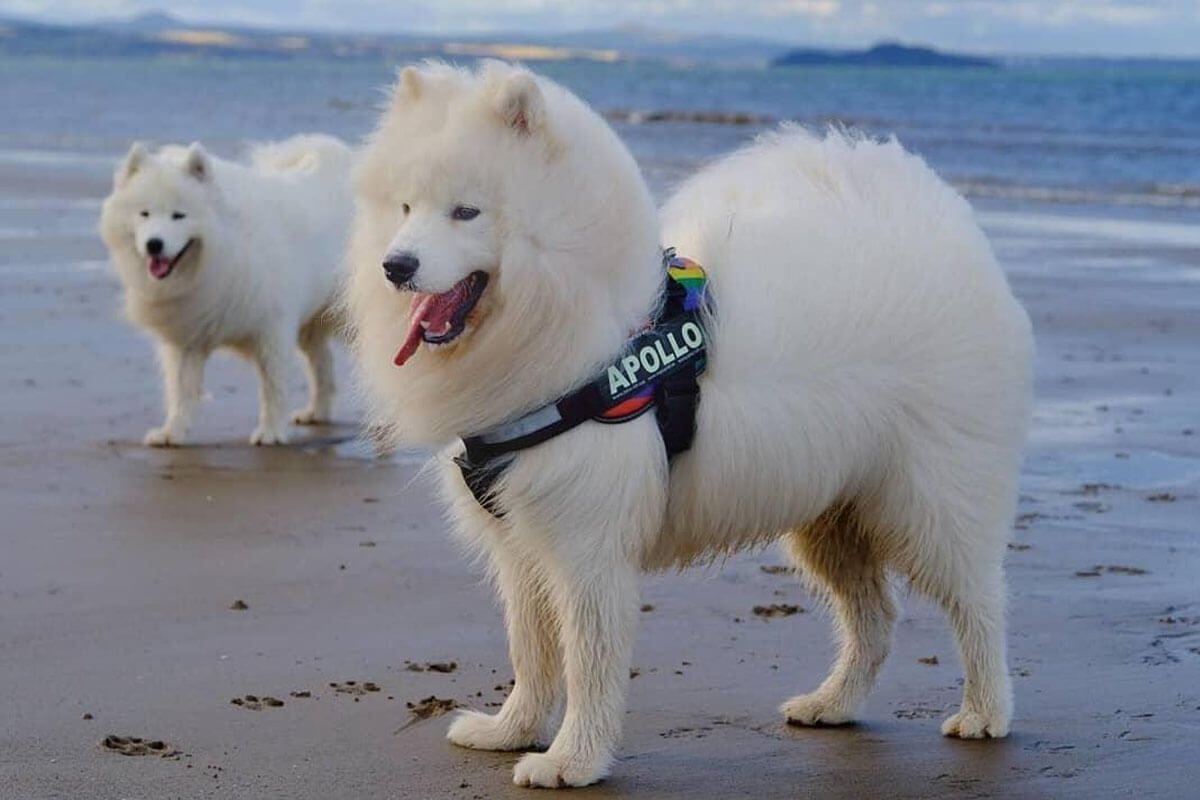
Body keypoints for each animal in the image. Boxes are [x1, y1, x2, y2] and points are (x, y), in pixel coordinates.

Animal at [100, 134, 352, 448]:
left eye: (178, 216)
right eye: (144, 213)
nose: (154, 244)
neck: (225, 251)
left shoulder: (272, 331)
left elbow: (273, 387)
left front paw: (271, 431)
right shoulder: (188, 335)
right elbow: (180, 391)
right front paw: (172, 432)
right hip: (310, 325)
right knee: (323, 364)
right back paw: (316, 413)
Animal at [345, 62, 1032, 786]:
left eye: (466, 211)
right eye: (405, 209)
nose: (396, 265)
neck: (583, 338)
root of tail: (945, 227)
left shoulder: (590, 548)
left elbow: (587, 663)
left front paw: (571, 760)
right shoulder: (522, 543)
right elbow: (530, 652)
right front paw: (512, 730)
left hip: (930, 504)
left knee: (979, 604)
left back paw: (985, 713)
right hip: (830, 518)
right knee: (875, 617)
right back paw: (832, 705)